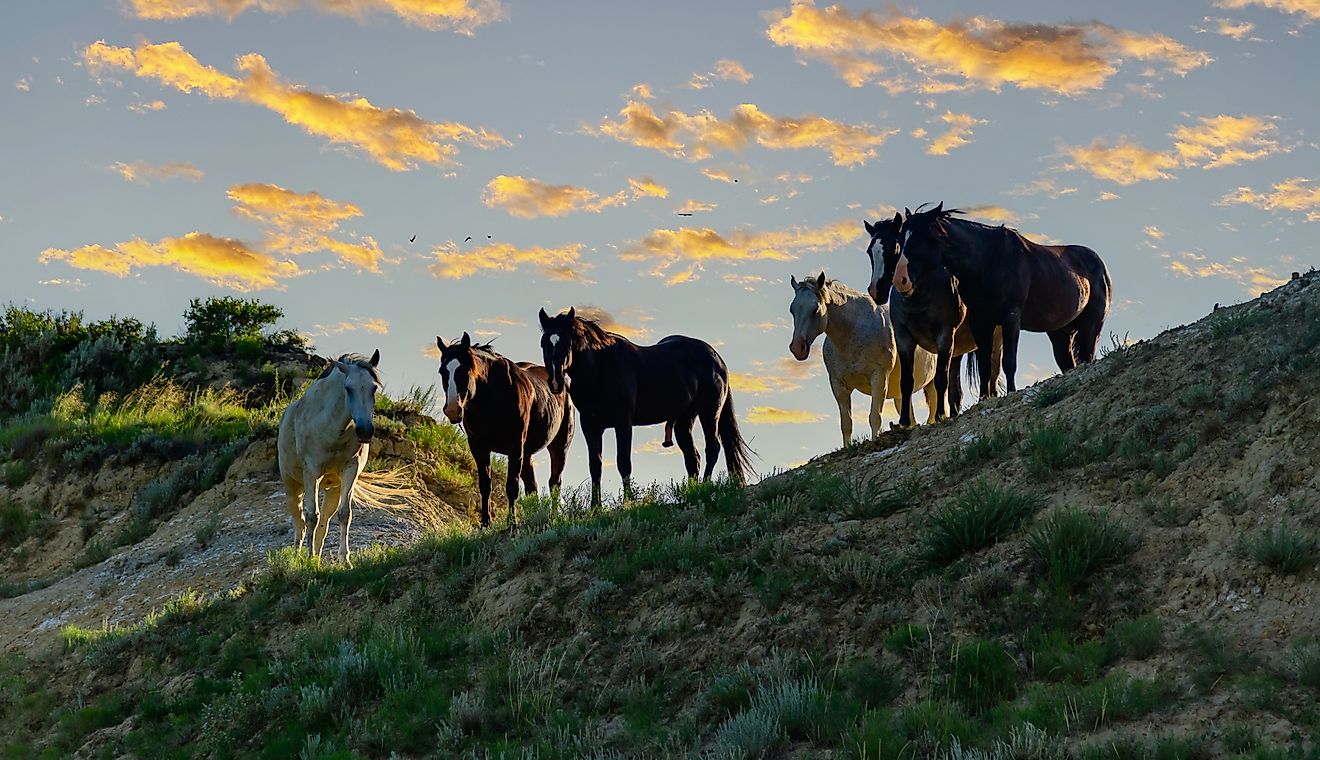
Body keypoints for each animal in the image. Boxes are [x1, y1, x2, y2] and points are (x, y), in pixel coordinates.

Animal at [438, 332, 572, 527]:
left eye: (465, 370)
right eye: (443, 371)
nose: (453, 409)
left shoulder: (514, 447)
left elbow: (512, 486)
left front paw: (512, 522)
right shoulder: (478, 447)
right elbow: (485, 485)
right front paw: (485, 522)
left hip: (559, 446)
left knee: (555, 482)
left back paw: (552, 516)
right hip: (527, 453)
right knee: (532, 486)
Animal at [533, 306, 744, 506]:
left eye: (567, 343)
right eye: (543, 343)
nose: (555, 382)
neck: (601, 368)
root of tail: (717, 359)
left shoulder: (623, 422)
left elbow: (623, 462)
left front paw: (628, 501)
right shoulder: (590, 425)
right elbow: (595, 466)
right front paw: (595, 506)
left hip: (709, 413)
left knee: (712, 449)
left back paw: (706, 487)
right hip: (685, 420)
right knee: (693, 458)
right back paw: (693, 493)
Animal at [786, 271, 945, 445]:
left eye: (815, 309)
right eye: (792, 310)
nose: (797, 348)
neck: (853, 333)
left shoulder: (879, 378)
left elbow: (874, 417)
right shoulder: (838, 385)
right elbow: (846, 424)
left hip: (932, 383)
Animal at [865, 213, 997, 427]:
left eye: (894, 247)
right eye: (870, 251)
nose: (876, 290)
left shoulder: (944, 335)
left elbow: (940, 379)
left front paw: (939, 415)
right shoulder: (904, 338)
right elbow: (906, 382)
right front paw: (904, 421)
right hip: (957, 348)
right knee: (956, 388)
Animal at [892, 204, 1108, 398]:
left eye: (920, 238)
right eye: (901, 239)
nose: (900, 280)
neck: (989, 260)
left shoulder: (1010, 318)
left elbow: (1009, 362)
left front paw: (1011, 392)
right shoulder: (980, 322)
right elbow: (985, 366)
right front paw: (984, 398)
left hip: (1091, 327)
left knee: (1088, 354)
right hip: (1060, 334)